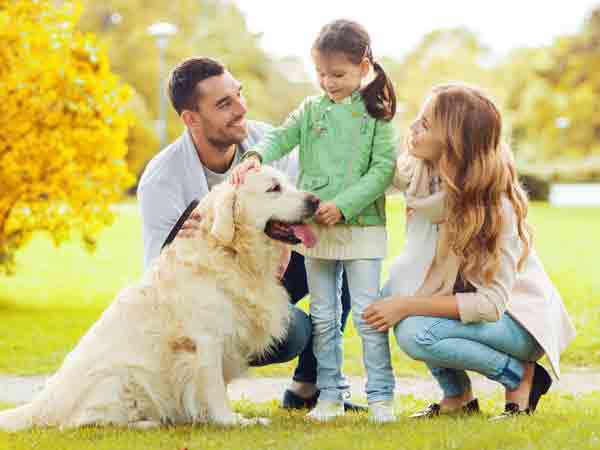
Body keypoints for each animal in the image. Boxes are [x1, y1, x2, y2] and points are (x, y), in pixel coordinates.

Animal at [0, 165, 318, 428]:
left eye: (289, 183)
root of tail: (43, 403)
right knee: (86, 422)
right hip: (121, 380)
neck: (232, 253)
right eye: (274, 188)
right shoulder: (205, 341)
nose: (315, 200)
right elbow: (214, 388)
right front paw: (229, 421)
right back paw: (148, 423)